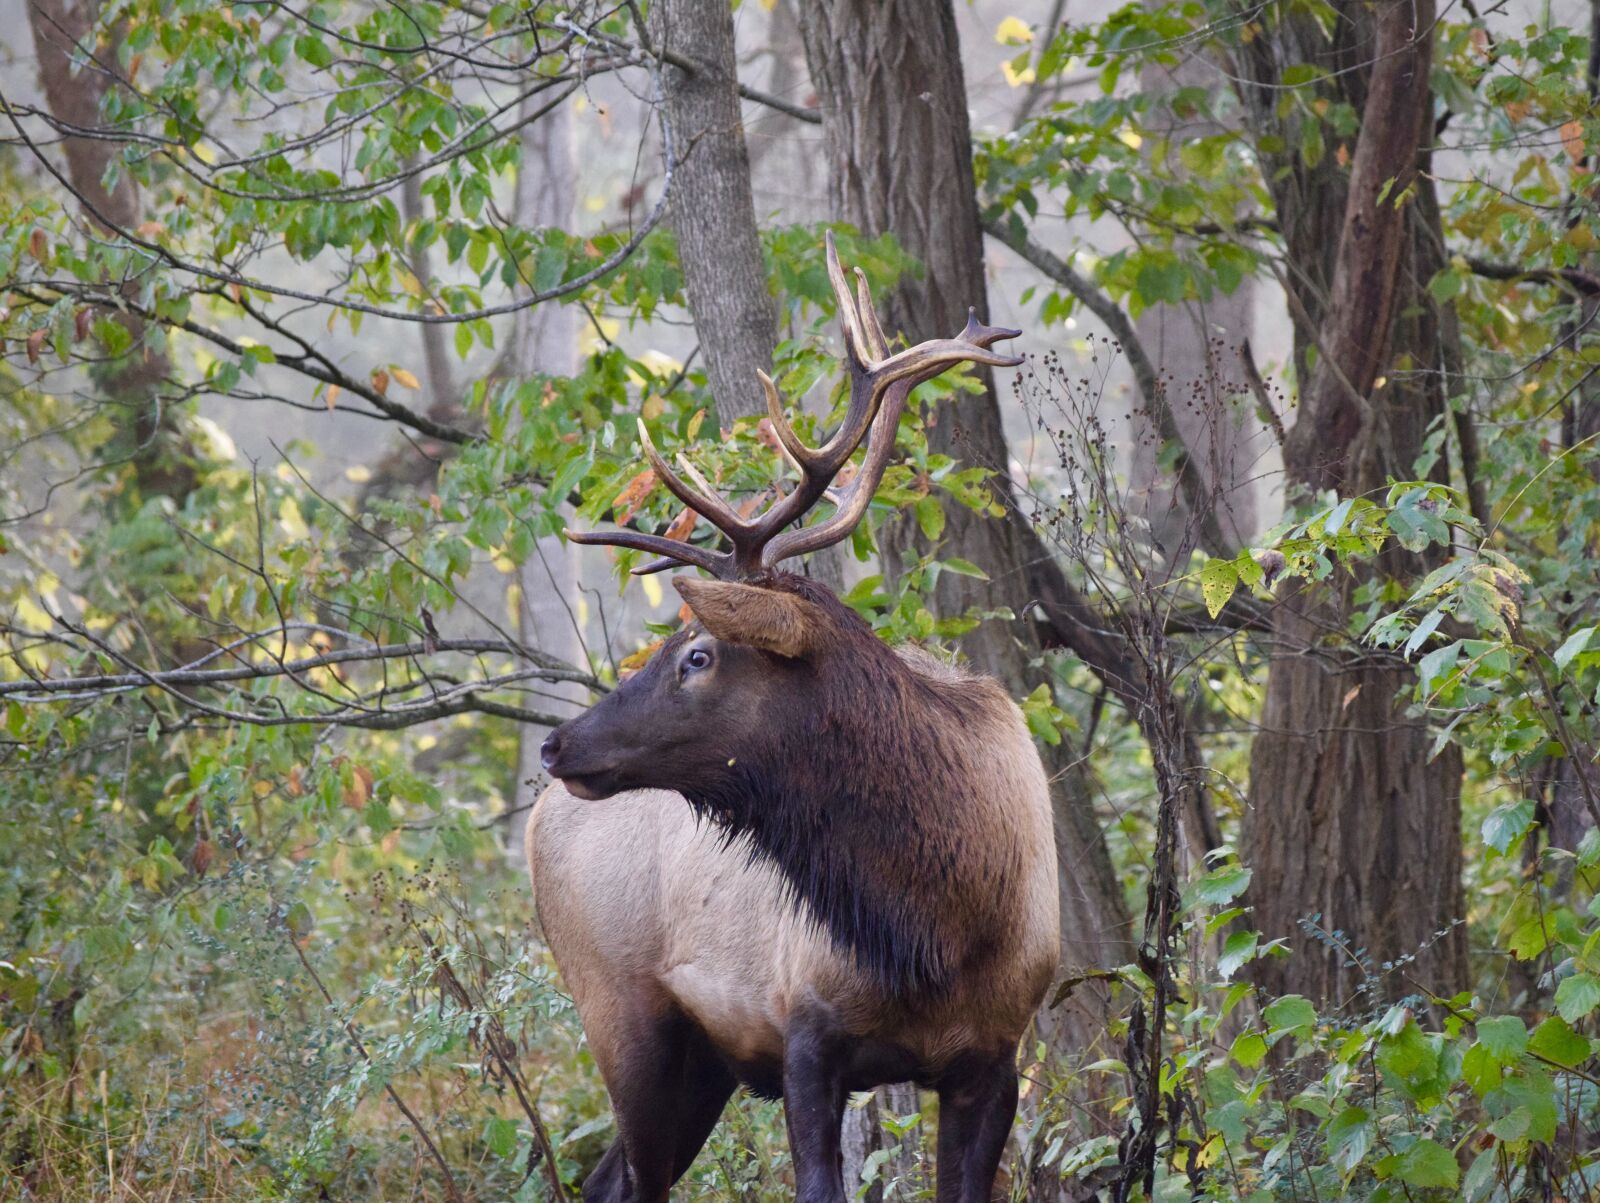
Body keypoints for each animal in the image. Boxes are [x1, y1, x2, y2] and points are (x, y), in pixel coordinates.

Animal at [527, 234, 1060, 1203]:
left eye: (699, 653)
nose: (556, 743)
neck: (940, 926)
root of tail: (534, 822)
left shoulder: (996, 1055)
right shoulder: (804, 1033)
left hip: (698, 1059)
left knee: (611, 1179)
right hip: (620, 1010)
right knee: (630, 1181)